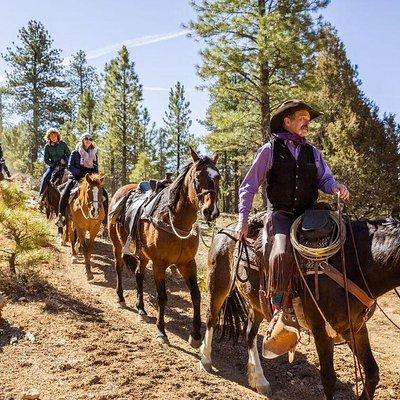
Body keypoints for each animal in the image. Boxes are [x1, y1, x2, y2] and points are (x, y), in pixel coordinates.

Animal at [109, 148, 220, 346]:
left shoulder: (187, 263)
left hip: (142, 255)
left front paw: (195, 335)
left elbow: (196, 296)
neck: (175, 221)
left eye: (219, 177)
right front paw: (161, 331)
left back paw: (141, 309)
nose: (211, 211)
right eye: (197, 176)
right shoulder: (159, 264)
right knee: (119, 268)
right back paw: (120, 298)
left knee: (138, 274)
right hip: (117, 245)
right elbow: (162, 297)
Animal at [202, 216, 400, 400]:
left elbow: (372, 372)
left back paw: (260, 381)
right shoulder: (322, 330)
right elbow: (329, 379)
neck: (351, 265)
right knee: (211, 317)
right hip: (218, 284)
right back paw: (205, 359)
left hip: (258, 303)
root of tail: (225, 230)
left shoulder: (355, 328)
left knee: (249, 333)